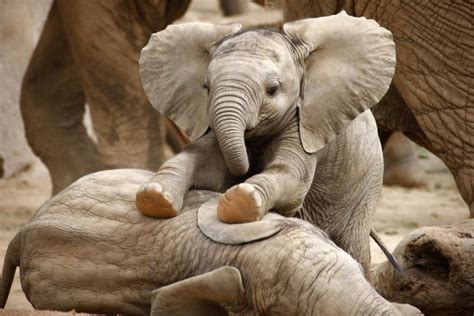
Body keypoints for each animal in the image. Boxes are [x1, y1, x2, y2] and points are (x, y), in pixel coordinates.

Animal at [135, 12, 394, 225]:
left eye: (272, 90)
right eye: (206, 88)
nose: (245, 171)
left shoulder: (305, 124)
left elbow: (291, 175)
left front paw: (241, 200)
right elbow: (200, 159)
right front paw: (154, 196)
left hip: (364, 187)